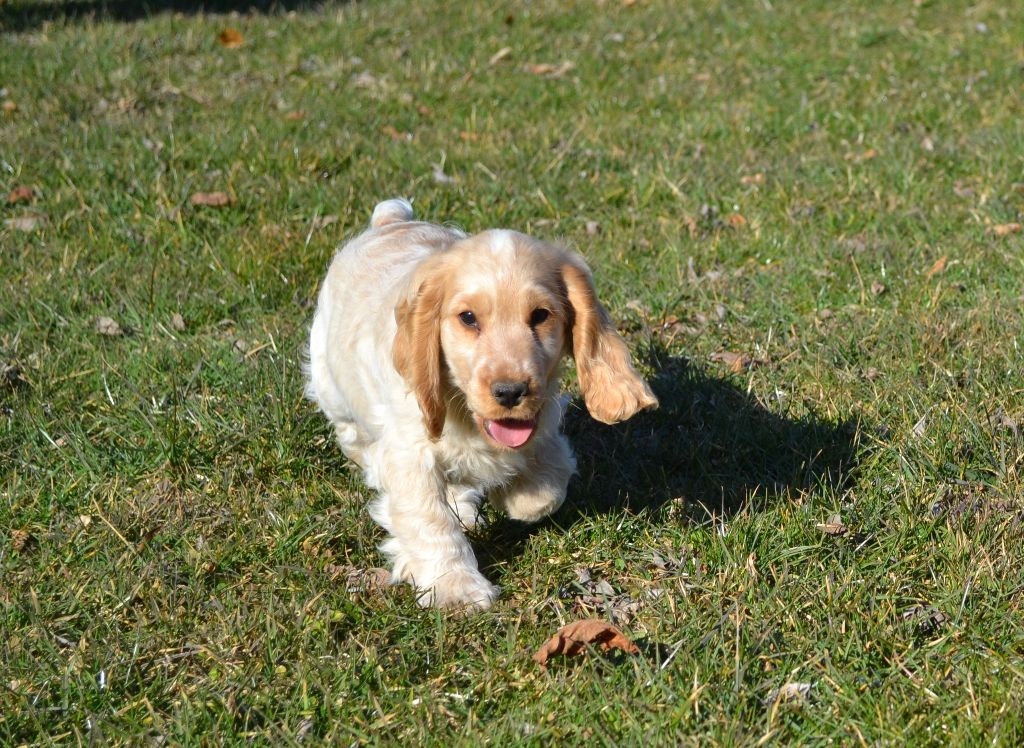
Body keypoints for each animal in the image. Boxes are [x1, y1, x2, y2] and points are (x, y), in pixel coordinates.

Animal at [306, 198, 657, 610]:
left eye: (540, 315)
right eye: (468, 318)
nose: (509, 392)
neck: (463, 412)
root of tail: (390, 221)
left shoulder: (541, 421)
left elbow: (544, 490)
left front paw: (516, 493)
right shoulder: (408, 454)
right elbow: (429, 519)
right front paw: (455, 588)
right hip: (331, 385)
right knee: (354, 437)